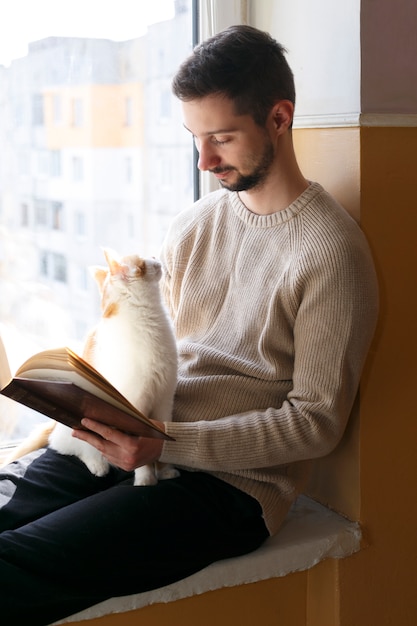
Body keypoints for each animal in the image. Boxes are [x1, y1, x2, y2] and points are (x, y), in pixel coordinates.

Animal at [3, 249, 179, 488]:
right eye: (143, 258)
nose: (155, 255)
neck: (149, 319)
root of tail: (55, 424)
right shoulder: (135, 408)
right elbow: (142, 448)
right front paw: (146, 478)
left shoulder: (164, 401)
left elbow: (160, 446)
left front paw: (165, 471)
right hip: (76, 435)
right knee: (73, 447)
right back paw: (98, 465)